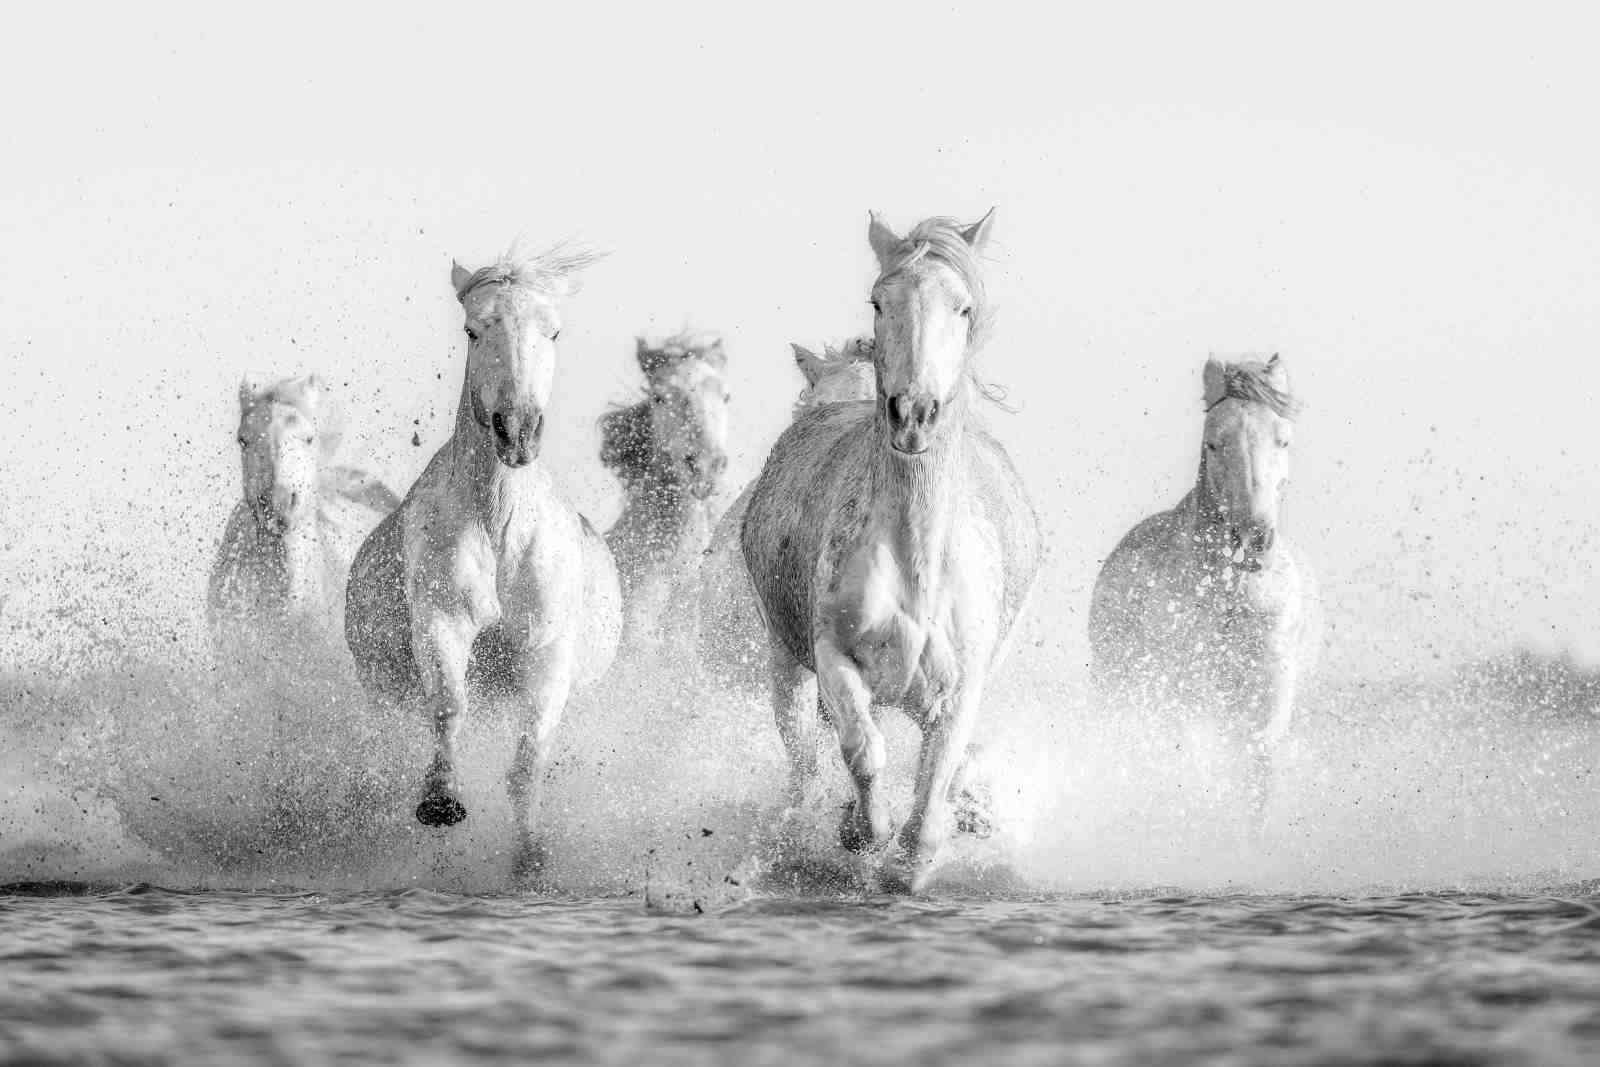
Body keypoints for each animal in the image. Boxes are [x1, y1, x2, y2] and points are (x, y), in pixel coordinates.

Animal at [343, 245, 621, 880]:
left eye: (554, 331)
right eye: (473, 330)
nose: (516, 432)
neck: (500, 528)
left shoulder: (546, 651)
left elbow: (528, 761)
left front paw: (531, 860)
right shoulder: (442, 625)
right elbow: (449, 707)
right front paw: (440, 802)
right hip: (381, 690)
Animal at [741, 212, 1041, 892]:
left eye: (963, 307)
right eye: (881, 301)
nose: (914, 415)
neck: (916, 567)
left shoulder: (960, 691)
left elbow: (933, 791)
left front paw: (920, 852)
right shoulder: (833, 658)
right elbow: (863, 750)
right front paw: (860, 832)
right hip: (784, 665)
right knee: (805, 762)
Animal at [1088, 355, 1322, 825]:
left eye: (1283, 440)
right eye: (1214, 442)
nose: (1252, 537)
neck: (1231, 596)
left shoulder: (1267, 706)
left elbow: (1255, 790)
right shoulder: (1180, 698)